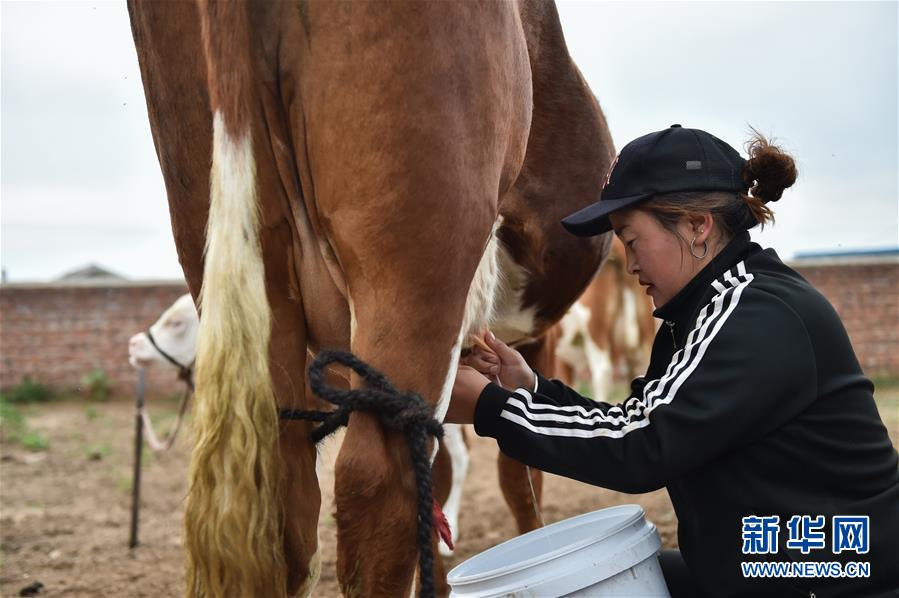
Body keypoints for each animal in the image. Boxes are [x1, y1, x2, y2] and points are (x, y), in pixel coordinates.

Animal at [127, 2, 614, 596]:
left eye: (176, 322)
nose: (134, 347)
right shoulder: (525, 339)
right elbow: (518, 477)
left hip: (229, 231)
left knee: (285, 495)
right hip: (420, 248)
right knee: (379, 484)